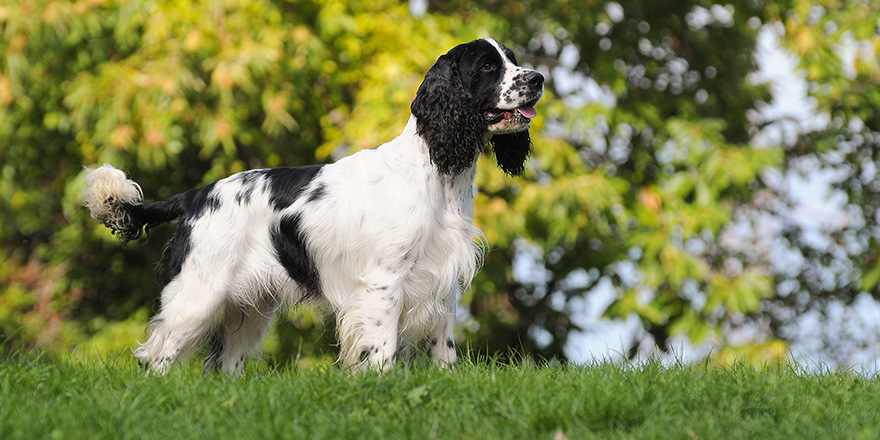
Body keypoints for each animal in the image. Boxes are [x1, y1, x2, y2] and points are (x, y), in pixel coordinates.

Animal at [86, 38, 548, 374]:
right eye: (487, 67)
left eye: (512, 59)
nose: (539, 77)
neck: (437, 174)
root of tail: (194, 196)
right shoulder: (384, 282)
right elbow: (382, 348)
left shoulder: (443, 283)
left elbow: (444, 349)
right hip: (197, 294)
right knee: (156, 358)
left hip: (248, 309)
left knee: (224, 365)